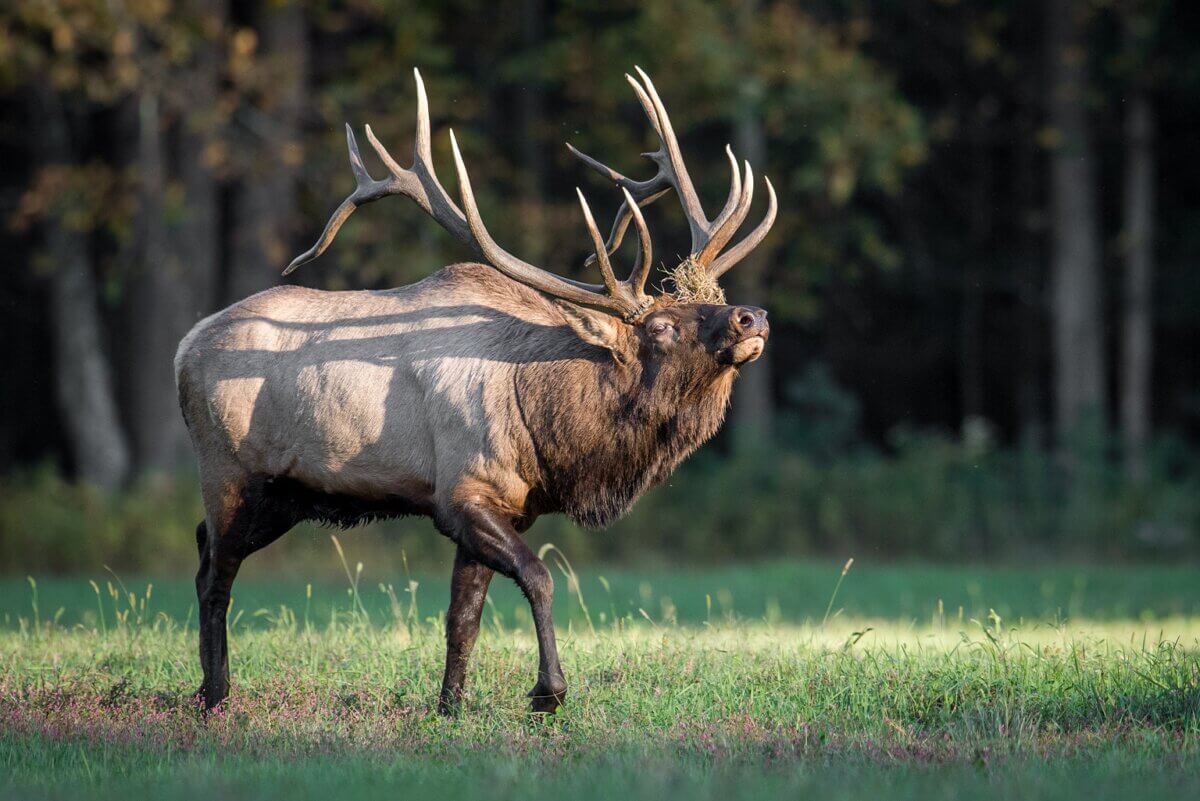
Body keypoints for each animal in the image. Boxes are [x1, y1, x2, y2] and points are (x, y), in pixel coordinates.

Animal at [175, 68, 777, 714]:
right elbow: (539, 577)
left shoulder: (504, 505)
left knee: (203, 545)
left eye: (713, 302)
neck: (547, 428)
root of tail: (184, 348)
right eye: (661, 326)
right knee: (214, 572)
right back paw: (215, 693)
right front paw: (547, 691)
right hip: (229, 473)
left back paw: (210, 685)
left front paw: (450, 707)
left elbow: (462, 618)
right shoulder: (463, 493)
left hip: (283, 495)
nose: (752, 316)